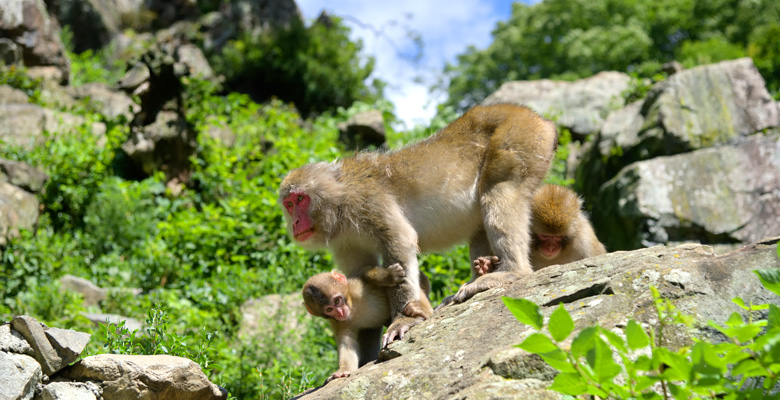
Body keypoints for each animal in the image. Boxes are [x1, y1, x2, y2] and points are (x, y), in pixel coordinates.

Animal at [278, 103, 556, 344]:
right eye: (289, 204)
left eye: (301, 199)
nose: (296, 223)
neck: (339, 203)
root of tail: (539, 118)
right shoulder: (343, 239)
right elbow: (359, 271)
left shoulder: (367, 202)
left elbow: (399, 239)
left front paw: (403, 318)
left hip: (520, 136)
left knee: (498, 189)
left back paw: (510, 272)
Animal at [302, 264, 432, 382]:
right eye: (329, 309)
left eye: (337, 301)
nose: (340, 312)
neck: (352, 308)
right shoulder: (338, 323)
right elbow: (347, 344)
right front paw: (343, 371)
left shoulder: (355, 288)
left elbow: (364, 273)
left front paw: (387, 276)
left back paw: (424, 311)